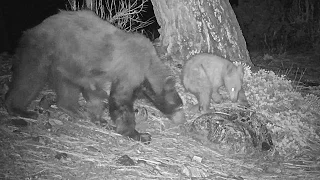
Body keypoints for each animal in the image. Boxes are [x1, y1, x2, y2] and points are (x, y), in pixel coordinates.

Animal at [5, 9, 185, 143]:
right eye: (179, 106)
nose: (181, 120)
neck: (148, 64)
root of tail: (33, 29)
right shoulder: (130, 70)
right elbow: (120, 100)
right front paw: (136, 134)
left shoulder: (95, 74)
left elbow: (94, 93)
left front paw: (98, 118)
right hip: (43, 51)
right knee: (29, 78)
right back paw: (19, 109)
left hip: (65, 64)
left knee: (67, 87)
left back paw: (72, 108)